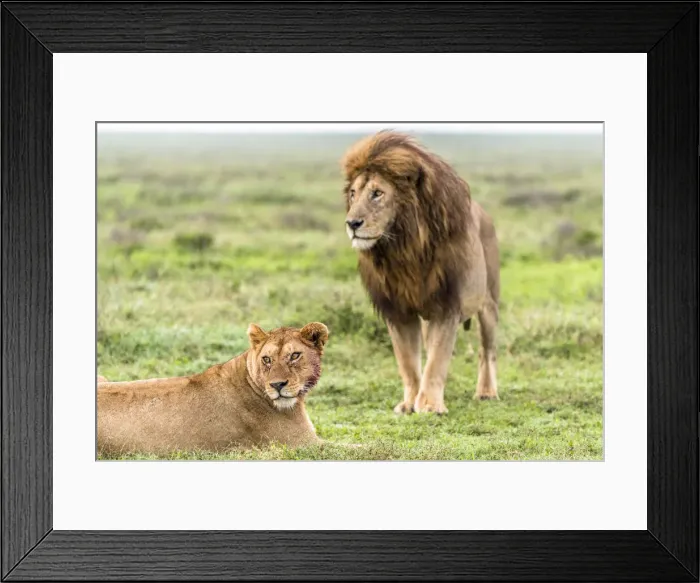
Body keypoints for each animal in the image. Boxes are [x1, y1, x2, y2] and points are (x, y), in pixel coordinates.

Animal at [341, 130, 500, 414]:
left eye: (377, 193)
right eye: (353, 193)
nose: (352, 223)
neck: (404, 251)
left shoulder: (447, 307)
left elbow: (437, 361)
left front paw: (429, 406)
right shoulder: (398, 312)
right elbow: (408, 363)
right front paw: (409, 403)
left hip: (489, 304)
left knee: (487, 351)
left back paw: (486, 392)